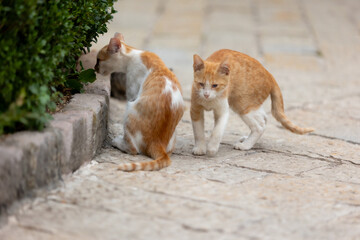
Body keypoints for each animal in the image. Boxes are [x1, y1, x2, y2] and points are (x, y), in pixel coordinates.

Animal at [94, 32, 184, 172]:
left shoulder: (132, 92)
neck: (134, 53)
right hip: (174, 136)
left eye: (98, 60)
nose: (94, 68)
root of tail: (157, 143)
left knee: (133, 149)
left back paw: (117, 142)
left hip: (130, 110)